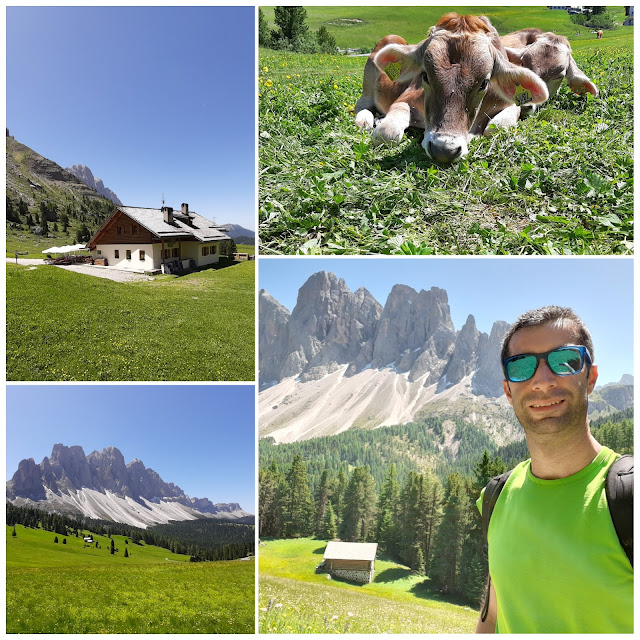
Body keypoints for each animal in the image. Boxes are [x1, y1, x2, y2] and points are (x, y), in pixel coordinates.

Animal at [352, 12, 552, 162]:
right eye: (425, 75)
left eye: (484, 82)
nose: (443, 150)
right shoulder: (406, 98)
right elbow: (387, 134)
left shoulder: (509, 105)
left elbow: (494, 128)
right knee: (362, 105)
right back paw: (366, 120)